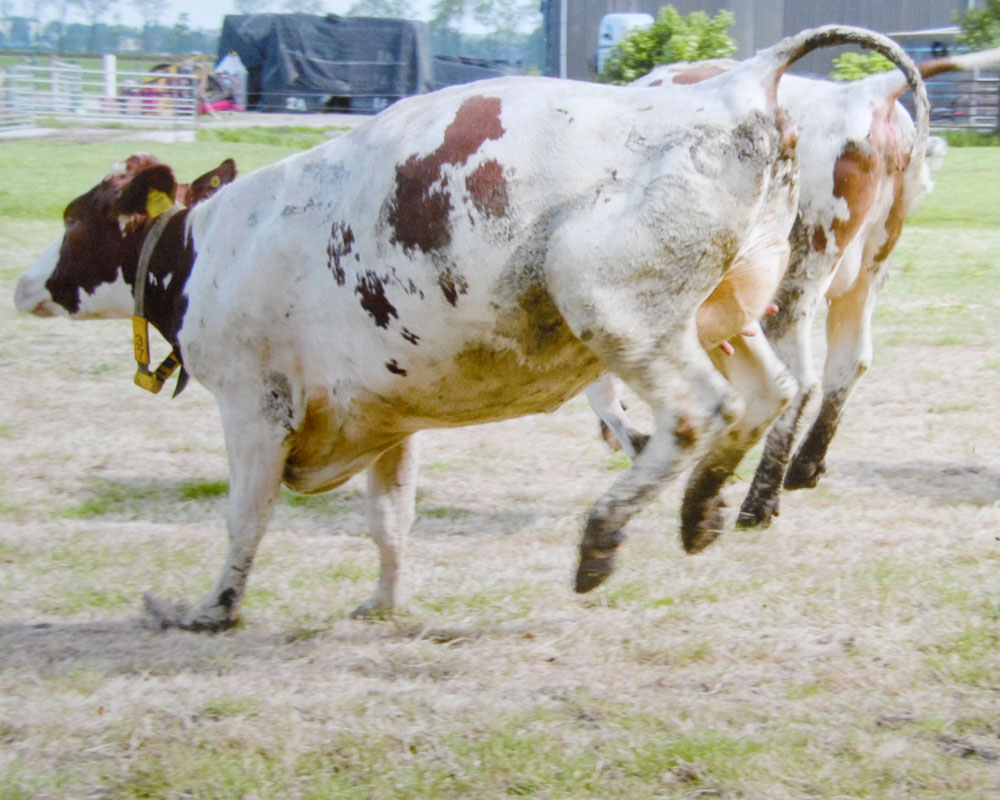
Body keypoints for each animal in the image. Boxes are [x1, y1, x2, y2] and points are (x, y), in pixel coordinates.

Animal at [13, 26, 920, 632]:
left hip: (620, 309)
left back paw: (607, 536)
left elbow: (246, 519)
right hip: (732, 310)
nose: (22, 282)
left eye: (73, 216)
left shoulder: (253, 406)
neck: (209, 247)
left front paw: (211, 608)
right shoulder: (385, 418)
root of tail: (740, 84)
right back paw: (705, 509)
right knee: (775, 390)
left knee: (706, 410)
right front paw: (383, 604)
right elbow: (391, 523)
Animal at [588, 47, 996, 528]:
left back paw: (759, 501)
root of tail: (865, 91)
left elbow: (603, 390)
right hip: (867, 270)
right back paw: (804, 466)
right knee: (848, 363)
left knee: (801, 380)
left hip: (798, 275)